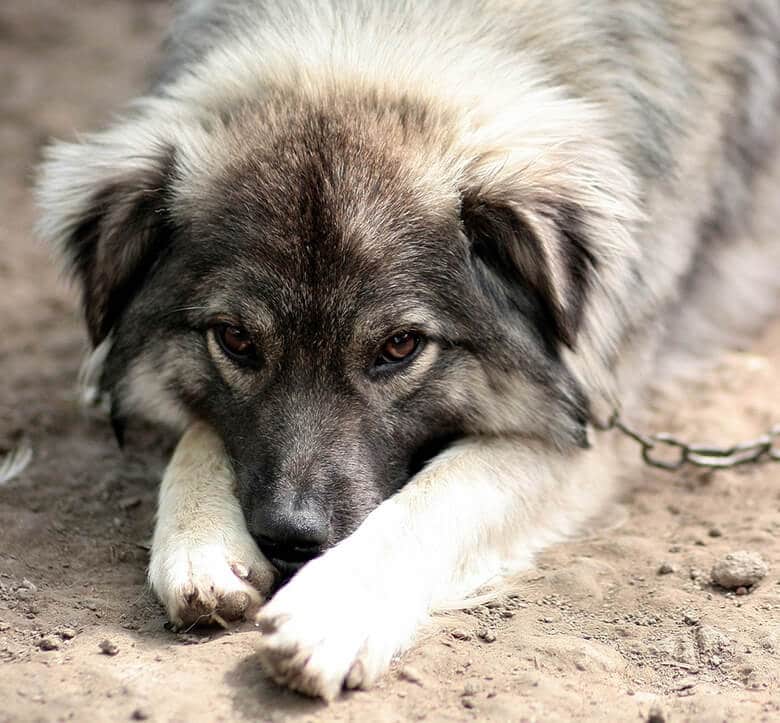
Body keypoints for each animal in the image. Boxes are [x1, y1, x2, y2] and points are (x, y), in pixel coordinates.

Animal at [36, 0, 780, 700]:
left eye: (399, 345)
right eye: (237, 339)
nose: (289, 538)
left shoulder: (587, 429)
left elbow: (445, 492)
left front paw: (335, 607)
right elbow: (199, 428)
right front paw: (201, 542)